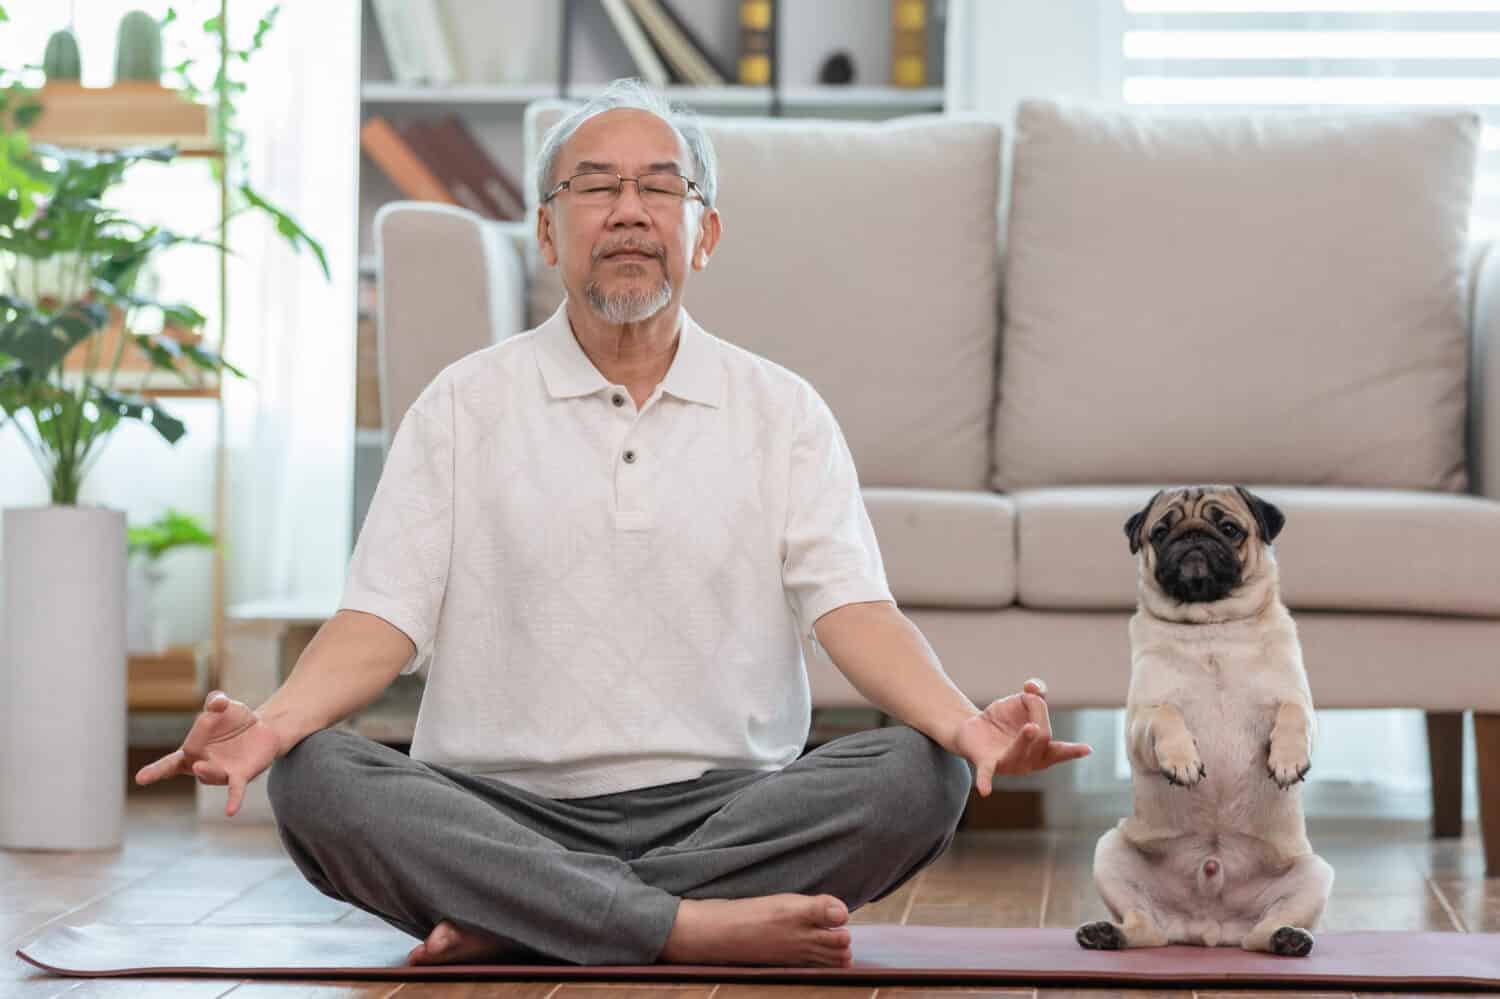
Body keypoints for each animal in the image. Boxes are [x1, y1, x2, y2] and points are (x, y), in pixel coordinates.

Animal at [1080, 486, 1338, 954]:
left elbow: (1291, 712)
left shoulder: (1300, 704)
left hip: (1314, 872)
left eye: (1229, 528)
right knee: (1147, 930)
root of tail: (1209, 926)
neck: (1212, 630)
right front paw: (1182, 761)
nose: (1193, 535)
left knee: (1261, 934)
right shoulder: (1139, 722)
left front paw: (1287, 760)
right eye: (1160, 532)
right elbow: (1167, 714)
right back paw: (1108, 933)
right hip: (1109, 850)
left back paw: (1288, 938)